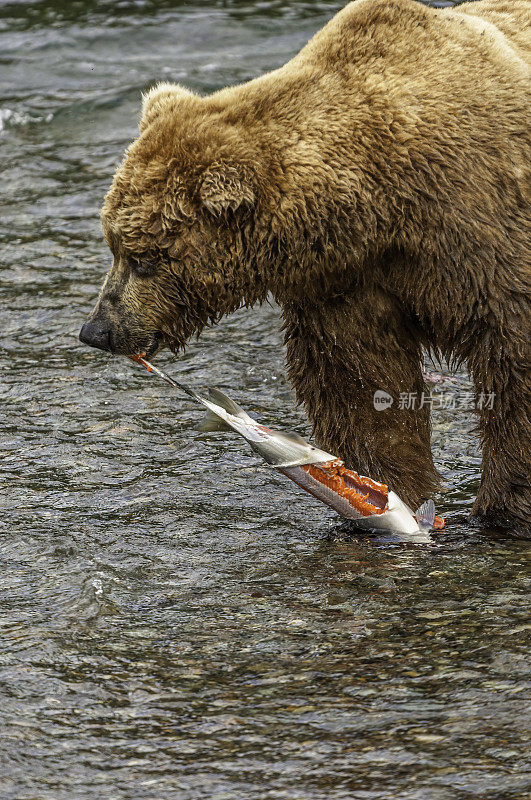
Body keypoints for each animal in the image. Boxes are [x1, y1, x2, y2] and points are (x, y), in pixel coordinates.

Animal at [80, 1, 531, 536]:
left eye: (144, 257)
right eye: (113, 244)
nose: (97, 330)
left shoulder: (476, 233)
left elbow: (513, 356)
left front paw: (505, 508)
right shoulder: (343, 284)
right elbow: (360, 384)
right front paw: (389, 490)